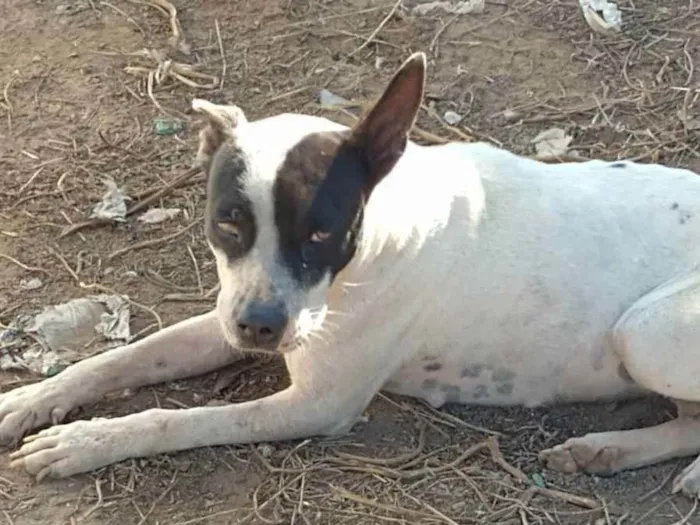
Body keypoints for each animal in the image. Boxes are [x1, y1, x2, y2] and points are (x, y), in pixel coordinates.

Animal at [4, 51, 700, 498]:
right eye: (228, 223)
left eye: (321, 232)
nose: (260, 327)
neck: (373, 242)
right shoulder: (226, 313)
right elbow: (118, 360)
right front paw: (31, 401)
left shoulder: (318, 403)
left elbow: (177, 420)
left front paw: (85, 442)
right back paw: (605, 450)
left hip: (641, 331)